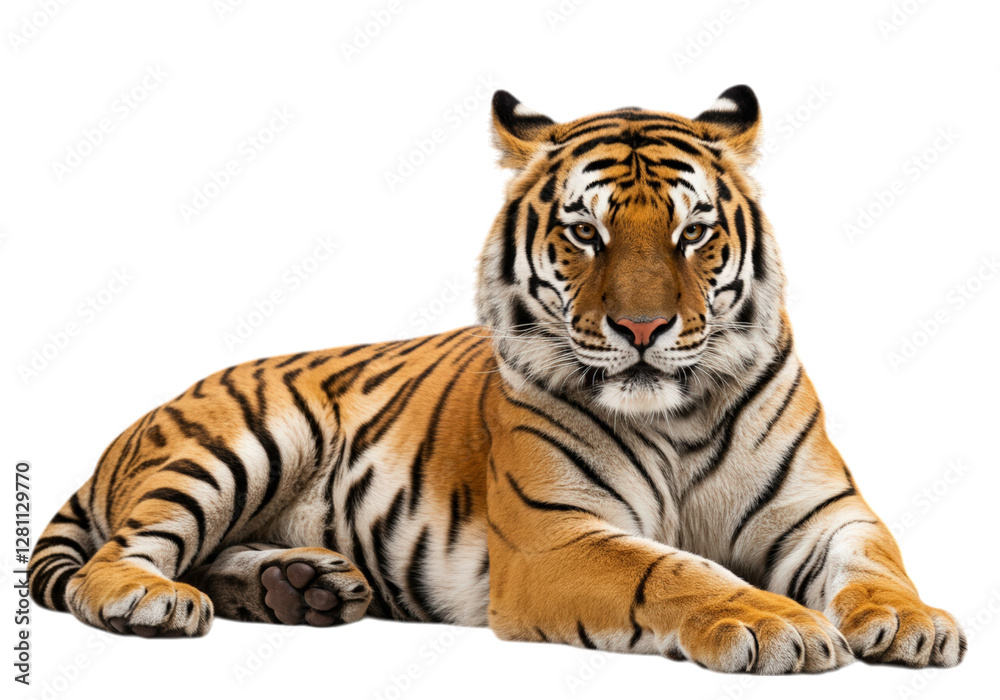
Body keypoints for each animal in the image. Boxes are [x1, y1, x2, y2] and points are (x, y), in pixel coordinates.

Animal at [29, 85, 966, 674]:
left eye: (693, 231)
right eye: (585, 232)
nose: (642, 330)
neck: (678, 417)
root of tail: (139, 420)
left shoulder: (825, 513)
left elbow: (878, 566)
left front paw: (916, 623)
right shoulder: (560, 535)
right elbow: (678, 572)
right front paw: (773, 623)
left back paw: (299, 587)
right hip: (240, 441)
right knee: (113, 560)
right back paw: (152, 600)